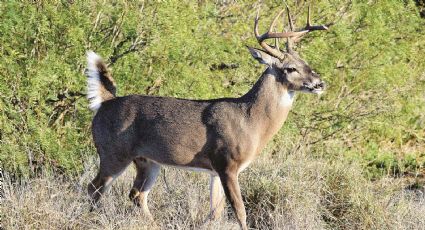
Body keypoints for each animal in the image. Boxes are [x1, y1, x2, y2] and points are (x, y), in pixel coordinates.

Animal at [86, 5, 328, 230]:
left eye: (306, 62)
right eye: (291, 68)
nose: (320, 83)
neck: (250, 120)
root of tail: (105, 102)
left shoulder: (215, 171)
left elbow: (215, 212)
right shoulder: (227, 162)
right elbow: (239, 211)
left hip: (148, 160)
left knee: (136, 194)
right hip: (113, 152)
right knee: (95, 187)